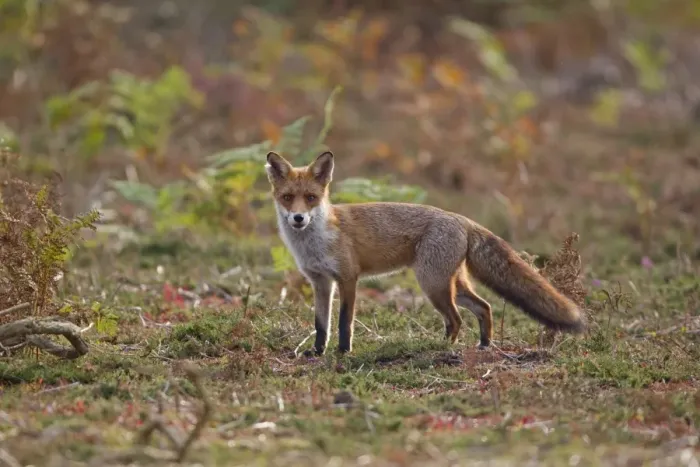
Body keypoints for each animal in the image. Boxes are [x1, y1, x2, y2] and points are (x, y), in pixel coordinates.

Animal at [265, 150, 586, 356]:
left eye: (310, 198)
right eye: (287, 198)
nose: (298, 219)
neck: (316, 241)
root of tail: (460, 218)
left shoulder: (347, 278)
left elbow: (344, 323)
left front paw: (343, 352)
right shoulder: (320, 282)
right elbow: (321, 324)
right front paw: (317, 352)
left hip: (432, 284)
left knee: (456, 319)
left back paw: (441, 348)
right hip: (450, 284)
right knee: (484, 307)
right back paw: (483, 345)